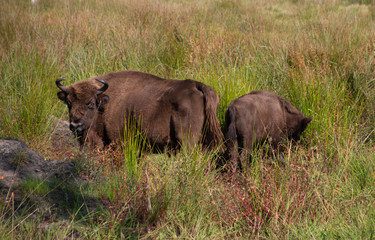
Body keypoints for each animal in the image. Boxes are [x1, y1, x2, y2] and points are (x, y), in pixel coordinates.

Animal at [55, 70, 223, 151]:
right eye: (68, 103)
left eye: (90, 103)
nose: (75, 125)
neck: (105, 102)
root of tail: (197, 85)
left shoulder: (118, 141)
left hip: (187, 141)